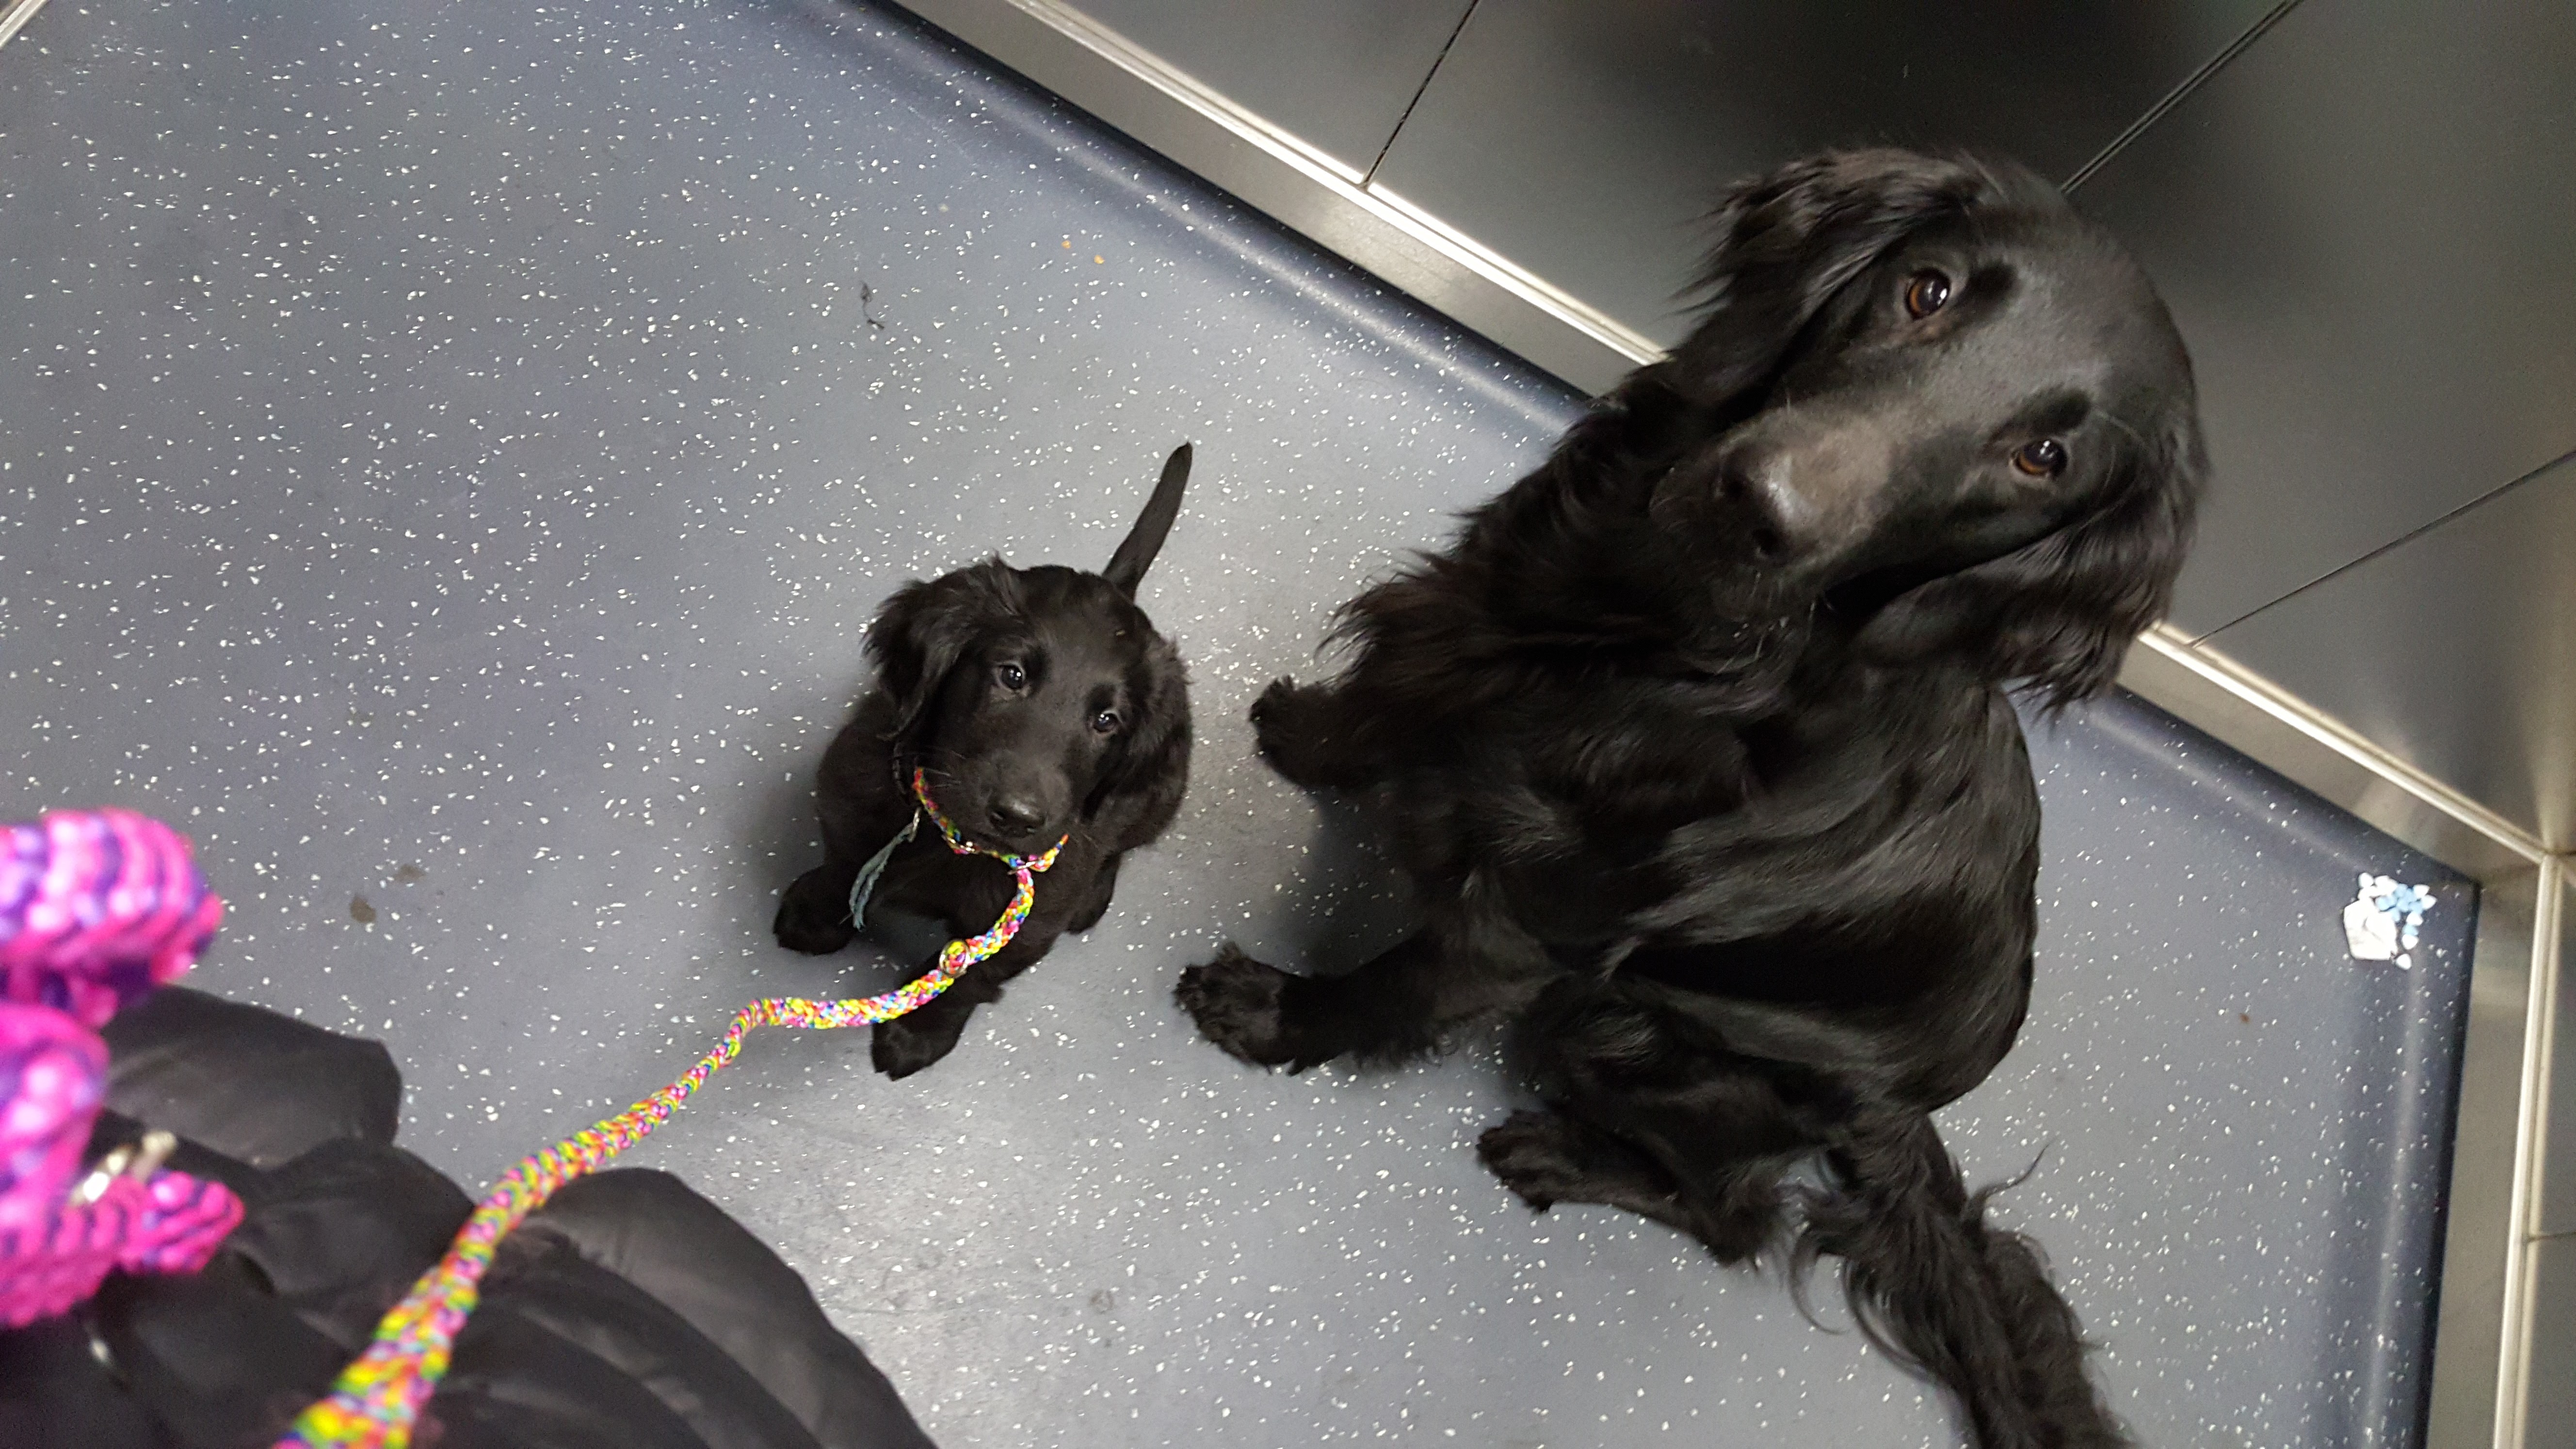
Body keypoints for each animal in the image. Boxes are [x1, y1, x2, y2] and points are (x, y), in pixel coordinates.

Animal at [777, 445, 1193, 1079]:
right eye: (1011, 675)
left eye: (1107, 721)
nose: (1018, 817)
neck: (947, 840)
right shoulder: (850, 802)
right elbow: (842, 864)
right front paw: (814, 915)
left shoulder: (1026, 925)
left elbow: (968, 979)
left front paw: (918, 1033)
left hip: (1154, 797)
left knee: (1122, 840)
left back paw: (1095, 894)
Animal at [1176, 151, 2204, 1448]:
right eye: (1924, 288)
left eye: (2042, 461)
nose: (1759, 506)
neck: (1646, 629)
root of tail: (1883, 1116)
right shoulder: (1453, 630)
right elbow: (1376, 707)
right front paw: (1306, 736)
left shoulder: (1524, 926)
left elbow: (1386, 987)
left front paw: (1275, 1014)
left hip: (1619, 1030)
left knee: (1735, 1218)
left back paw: (1559, 1158)